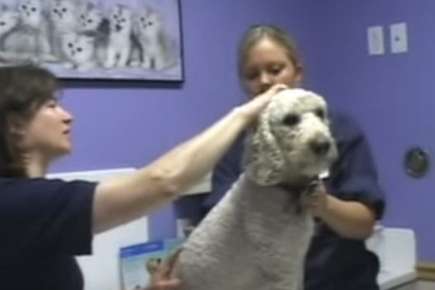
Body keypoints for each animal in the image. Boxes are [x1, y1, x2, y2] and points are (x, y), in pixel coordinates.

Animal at [175, 88, 340, 290]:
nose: (323, 144)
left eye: (320, 113)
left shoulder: (295, 265)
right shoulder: (280, 269)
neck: (283, 188)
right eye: (290, 119)